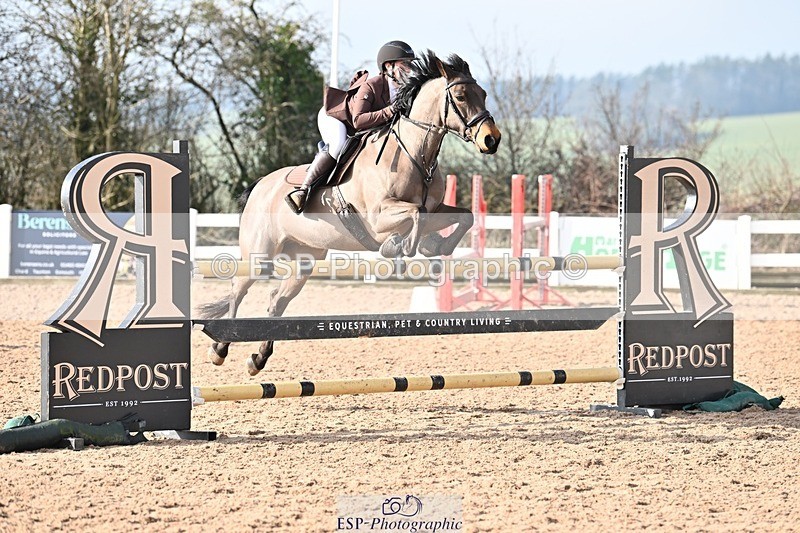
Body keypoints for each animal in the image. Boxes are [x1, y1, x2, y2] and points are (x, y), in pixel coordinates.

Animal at [197, 50, 502, 375]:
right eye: (460, 96)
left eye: (484, 94)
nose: (491, 139)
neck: (414, 153)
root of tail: (259, 186)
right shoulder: (378, 218)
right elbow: (416, 214)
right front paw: (400, 247)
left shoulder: (436, 209)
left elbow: (463, 216)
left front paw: (435, 246)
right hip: (259, 255)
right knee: (237, 290)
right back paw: (220, 348)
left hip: (304, 259)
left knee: (276, 301)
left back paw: (258, 358)